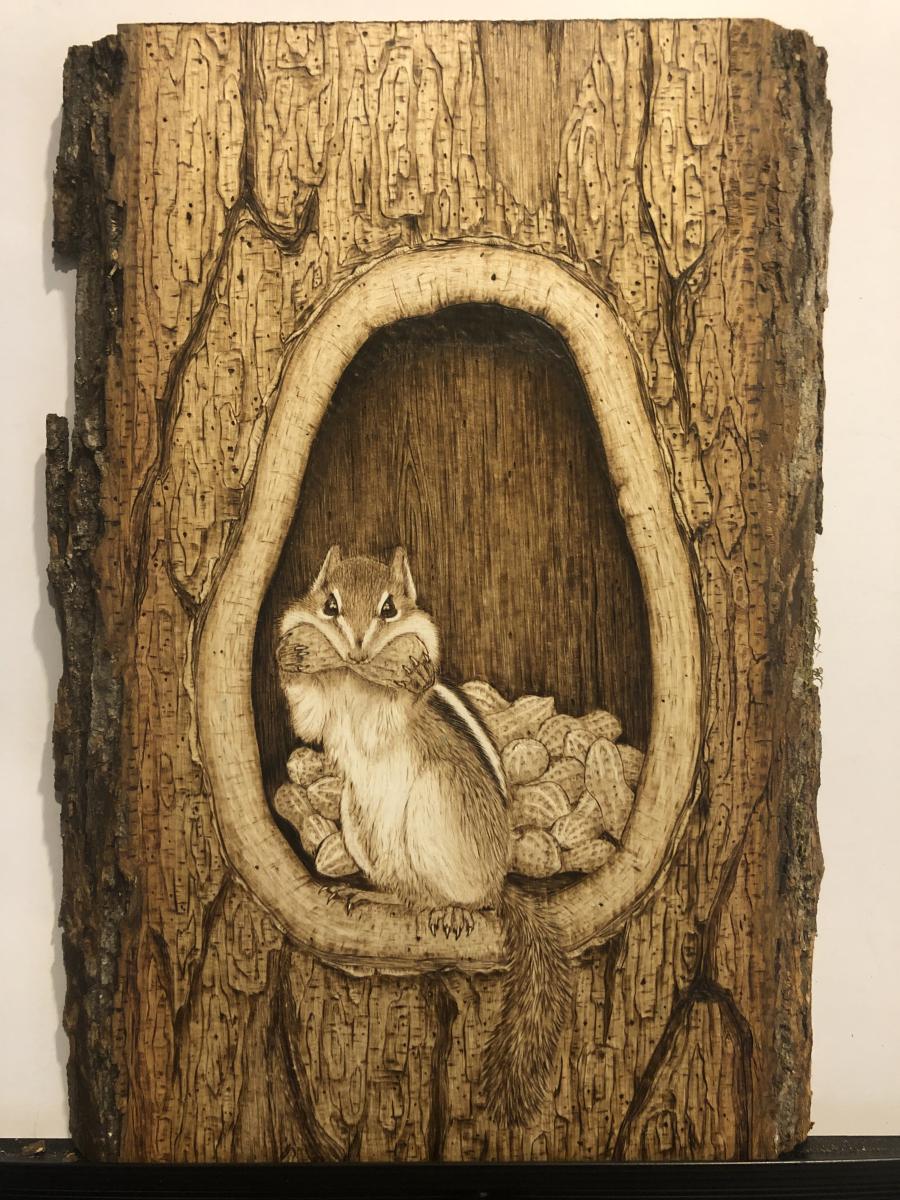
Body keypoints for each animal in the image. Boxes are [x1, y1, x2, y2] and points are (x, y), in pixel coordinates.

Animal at [275, 544, 571, 1126]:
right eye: (329, 605)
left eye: (390, 609)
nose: (357, 650)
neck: (354, 677)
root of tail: (501, 880)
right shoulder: (319, 705)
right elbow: (308, 715)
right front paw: (294, 657)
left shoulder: (394, 703)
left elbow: (392, 702)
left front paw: (404, 668)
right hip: (358, 821)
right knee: (405, 893)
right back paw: (370, 895)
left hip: (440, 806)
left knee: (461, 898)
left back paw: (452, 910)